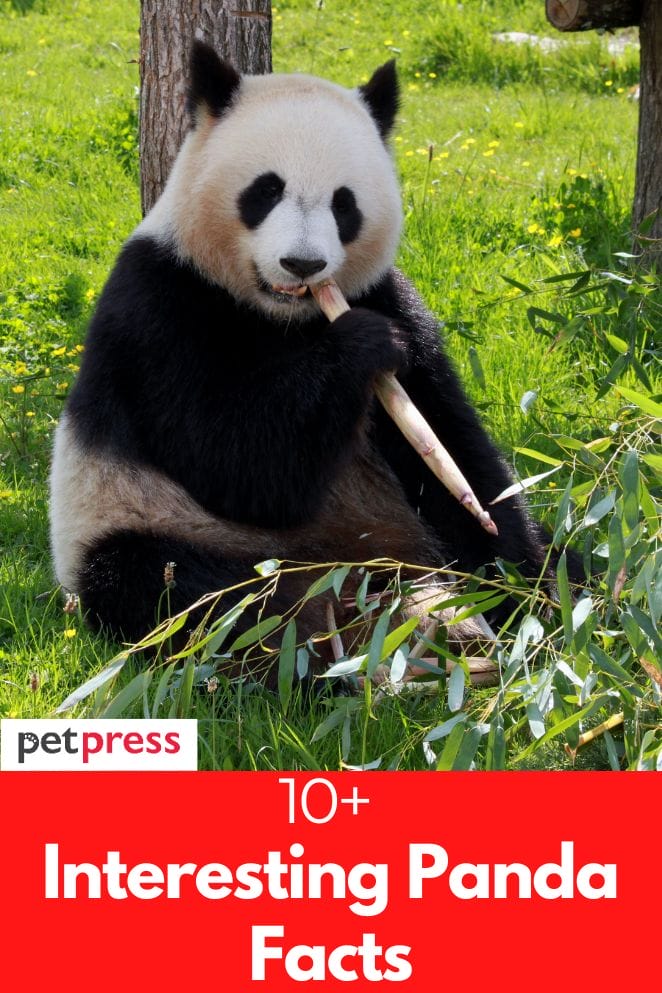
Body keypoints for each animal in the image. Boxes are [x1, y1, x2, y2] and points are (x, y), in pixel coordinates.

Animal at [49, 42, 551, 671]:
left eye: (344, 204)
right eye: (266, 191)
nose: (304, 264)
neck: (284, 316)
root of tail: (354, 577)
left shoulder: (388, 294)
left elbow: (452, 448)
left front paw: (522, 582)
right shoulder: (160, 307)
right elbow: (235, 462)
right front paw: (362, 345)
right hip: (142, 522)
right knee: (185, 596)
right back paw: (316, 659)